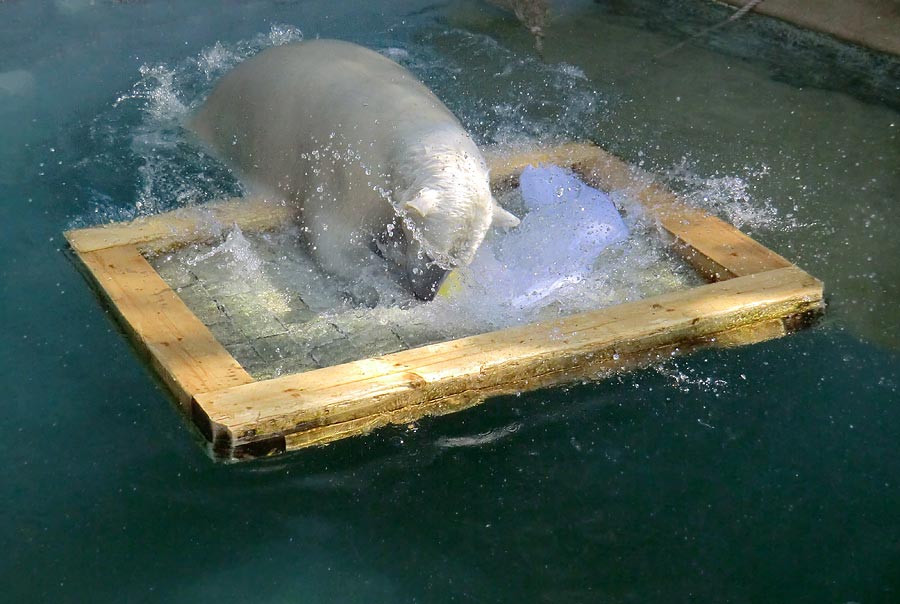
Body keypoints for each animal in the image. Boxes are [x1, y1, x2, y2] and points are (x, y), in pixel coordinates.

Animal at [188, 39, 520, 300]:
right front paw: (376, 278)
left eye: (455, 265)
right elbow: (333, 237)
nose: (425, 294)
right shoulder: (354, 171)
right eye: (429, 253)